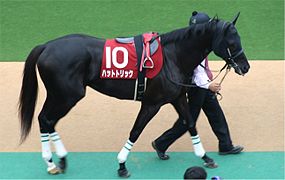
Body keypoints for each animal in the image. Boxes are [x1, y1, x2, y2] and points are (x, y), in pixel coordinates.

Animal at [18, 13, 248, 177]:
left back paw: (60, 160)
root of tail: (46, 45)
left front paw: (205, 157)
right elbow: (136, 130)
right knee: (46, 119)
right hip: (67, 96)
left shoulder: (177, 98)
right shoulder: (151, 103)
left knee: (46, 120)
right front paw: (121, 164)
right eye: (232, 43)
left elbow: (190, 123)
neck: (172, 56)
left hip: (60, 96)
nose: (246, 67)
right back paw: (51, 163)